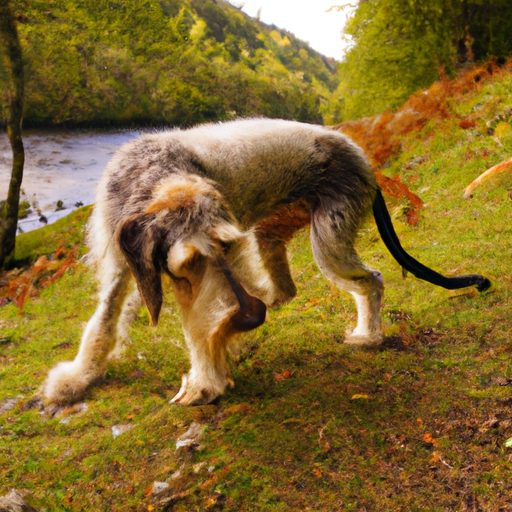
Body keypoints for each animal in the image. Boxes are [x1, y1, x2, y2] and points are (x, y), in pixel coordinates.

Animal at [42, 118, 490, 406]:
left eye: (227, 247)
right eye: (189, 262)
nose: (251, 316)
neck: (157, 179)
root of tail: (365, 160)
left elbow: (196, 330)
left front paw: (205, 381)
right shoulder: (124, 268)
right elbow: (104, 321)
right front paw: (77, 378)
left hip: (328, 244)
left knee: (372, 281)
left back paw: (368, 335)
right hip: (271, 236)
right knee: (288, 290)